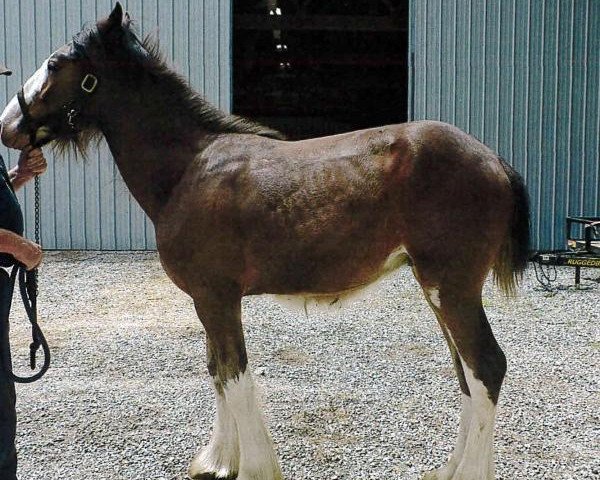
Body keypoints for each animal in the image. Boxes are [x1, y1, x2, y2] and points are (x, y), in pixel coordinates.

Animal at [2, 4, 532, 480]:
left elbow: (234, 375)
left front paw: (253, 467)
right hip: (438, 288)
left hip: (451, 287)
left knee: (486, 367)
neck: (190, 169)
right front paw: (217, 461)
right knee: (467, 373)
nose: (8, 126)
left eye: (57, 63)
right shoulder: (207, 300)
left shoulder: (217, 297)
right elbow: (217, 369)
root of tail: (493, 161)